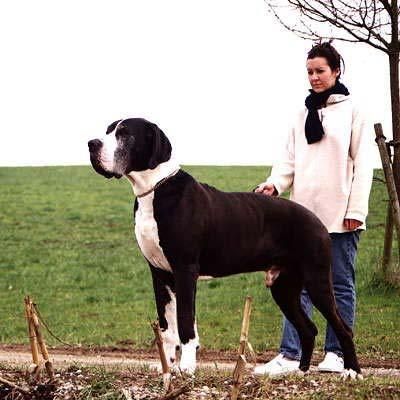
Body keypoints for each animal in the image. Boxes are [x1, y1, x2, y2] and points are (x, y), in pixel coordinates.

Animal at [88, 118, 361, 377]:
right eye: (108, 130)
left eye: (125, 134)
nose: (92, 143)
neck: (155, 189)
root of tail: (317, 220)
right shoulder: (160, 274)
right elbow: (167, 326)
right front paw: (168, 367)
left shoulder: (185, 270)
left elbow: (185, 322)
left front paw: (187, 368)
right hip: (283, 287)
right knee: (308, 329)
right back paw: (301, 372)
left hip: (317, 279)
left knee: (343, 327)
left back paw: (352, 372)